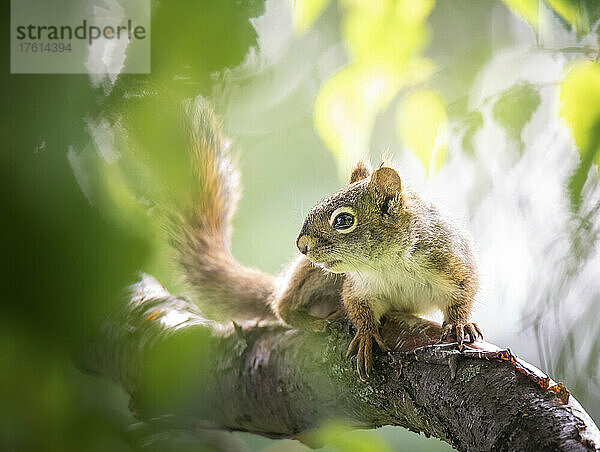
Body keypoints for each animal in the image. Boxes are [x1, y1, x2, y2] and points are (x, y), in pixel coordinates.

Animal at [173, 99, 482, 378]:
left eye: (343, 221)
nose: (301, 245)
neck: (388, 263)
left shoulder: (452, 262)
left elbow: (462, 294)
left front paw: (459, 324)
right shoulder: (358, 286)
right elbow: (358, 308)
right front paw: (366, 334)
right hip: (312, 274)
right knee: (282, 305)